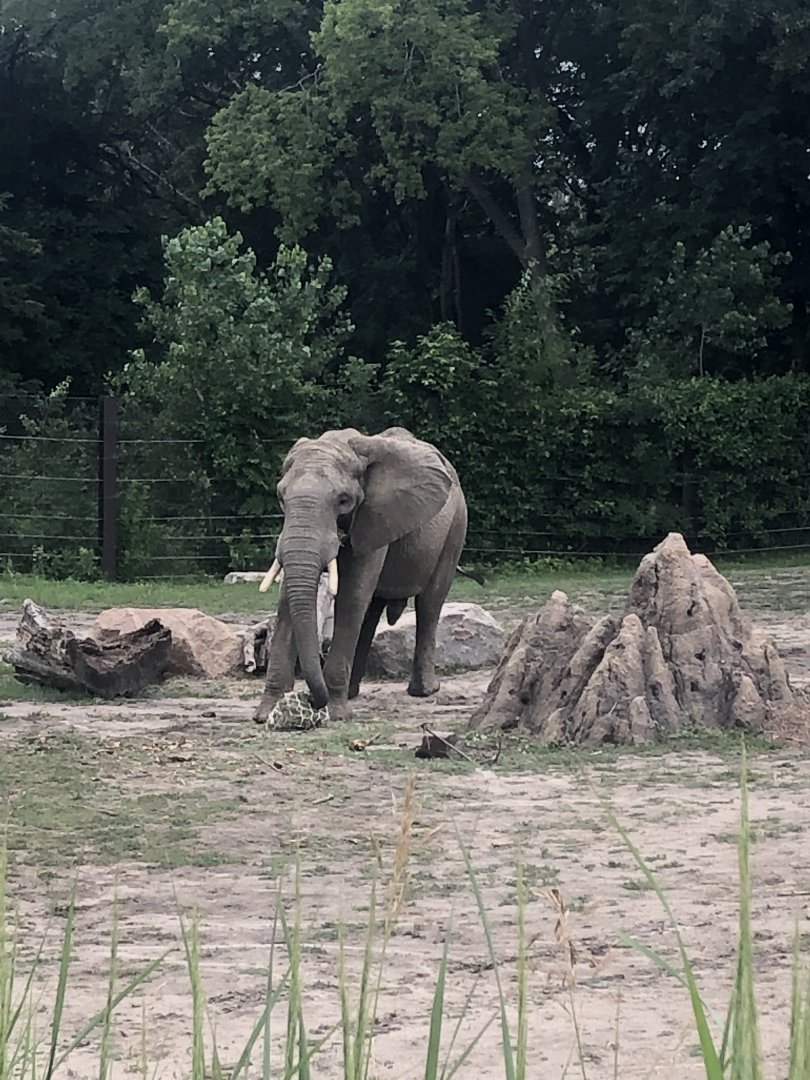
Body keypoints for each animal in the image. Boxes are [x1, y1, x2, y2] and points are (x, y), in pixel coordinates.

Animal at [253, 426, 468, 723]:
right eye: (281, 498)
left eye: (344, 501)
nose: (312, 700)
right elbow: (286, 601)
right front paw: (266, 713)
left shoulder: (375, 517)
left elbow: (351, 595)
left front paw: (335, 713)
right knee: (371, 613)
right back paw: (353, 693)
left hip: (456, 527)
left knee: (429, 602)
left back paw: (424, 690)